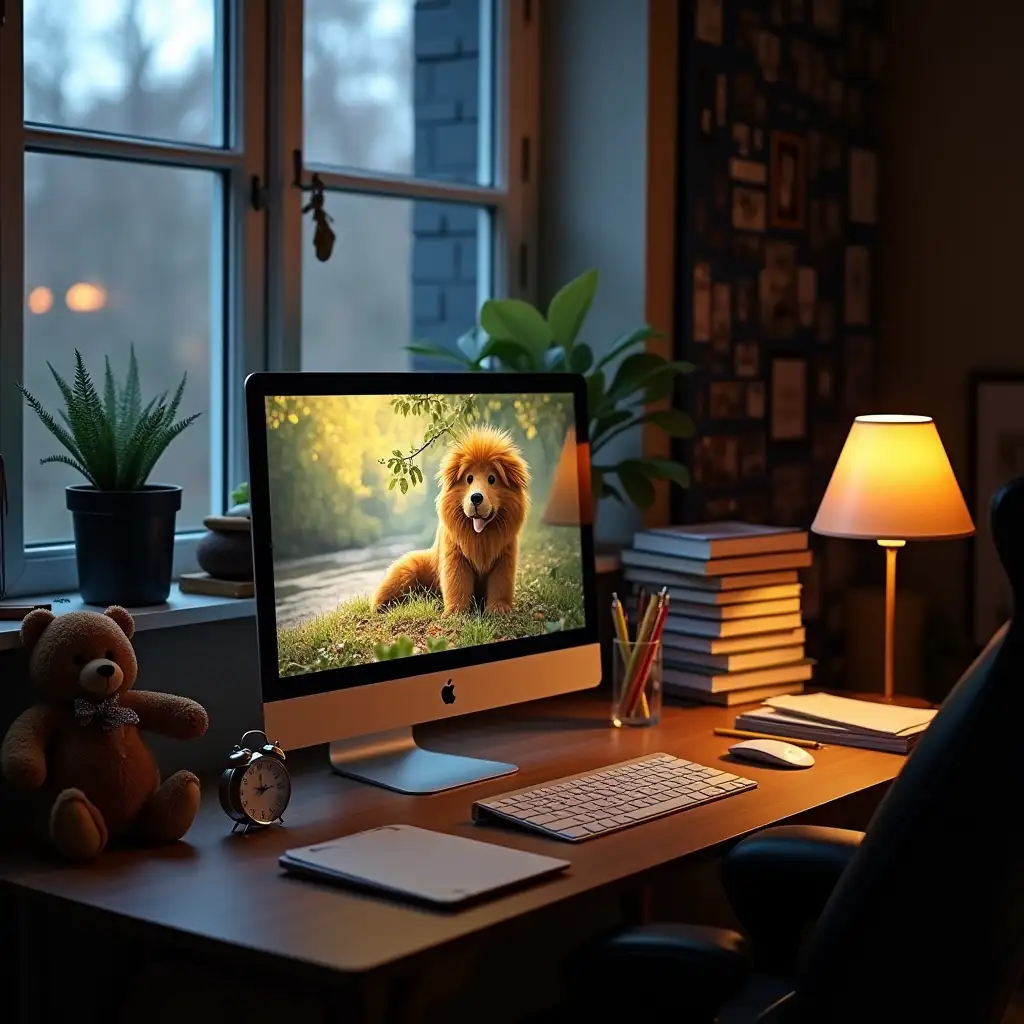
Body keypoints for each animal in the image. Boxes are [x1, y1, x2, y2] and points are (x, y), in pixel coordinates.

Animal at [374, 425, 532, 614]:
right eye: (469, 478)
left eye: (492, 479)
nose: (476, 498)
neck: (480, 536)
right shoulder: (455, 556)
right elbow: (457, 584)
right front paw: (455, 612)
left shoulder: (505, 557)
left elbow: (500, 585)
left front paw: (499, 608)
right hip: (407, 571)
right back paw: (381, 606)